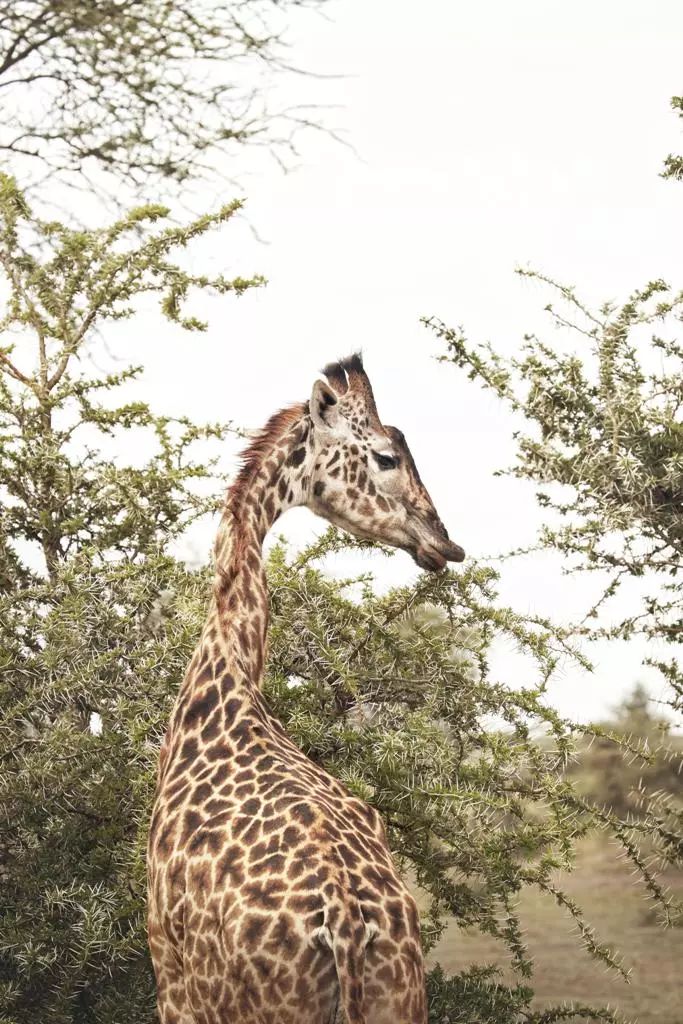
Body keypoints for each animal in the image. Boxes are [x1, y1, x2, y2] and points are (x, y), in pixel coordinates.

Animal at [148, 354, 464, 1024]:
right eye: (387, 457)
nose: (445, 543)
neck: (230, 673)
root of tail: (344, 923)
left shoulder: (170, 977)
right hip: (403, 996)